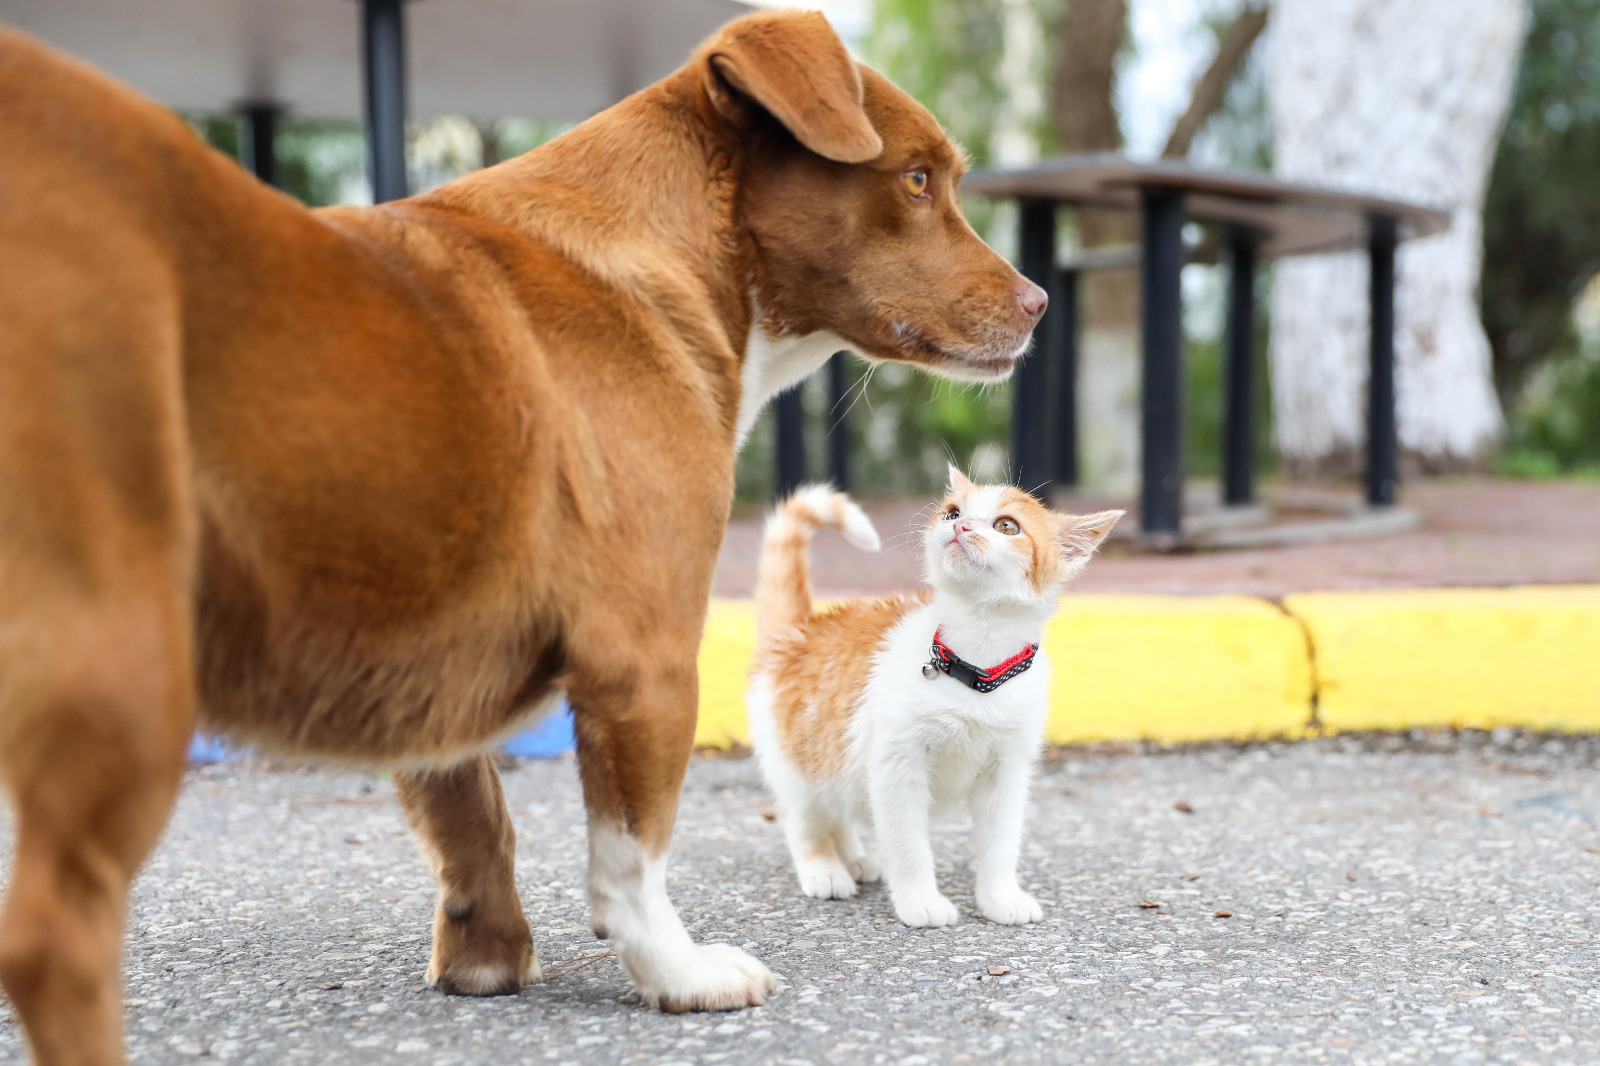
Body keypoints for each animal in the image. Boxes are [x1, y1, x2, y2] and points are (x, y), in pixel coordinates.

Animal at [0, 8, 1043, 1056]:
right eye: (917, 180)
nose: (1039, 304)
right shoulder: (646, 660)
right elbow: (631, 859)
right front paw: (675, 972)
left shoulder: (428, 657)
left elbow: (472, 814)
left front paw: (485, 958)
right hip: (127, 668)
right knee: (51, 938)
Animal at [742, 470, 1120, 928]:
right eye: (953, 512)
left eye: (1006, 526)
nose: (961, 526)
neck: (977, 668)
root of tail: (798, 632)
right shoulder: (896, 765)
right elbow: (907, 843)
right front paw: (920, 900)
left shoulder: (1008, 768)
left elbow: (1000, 840)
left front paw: (1000, 897)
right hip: (797, 754)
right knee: (805, 817)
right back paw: (825, 868)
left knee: (840, 806)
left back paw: (853, 857)